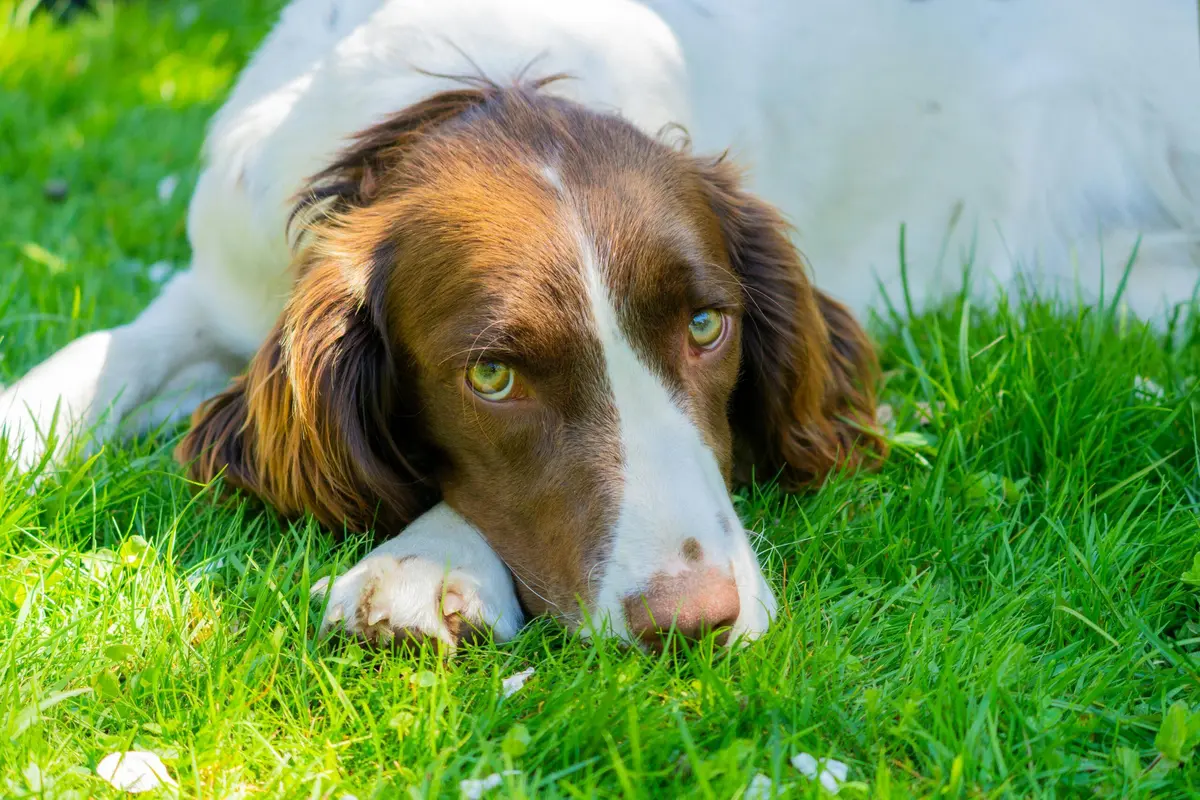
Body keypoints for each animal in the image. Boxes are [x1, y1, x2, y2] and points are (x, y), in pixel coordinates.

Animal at [2, 0, 1200, 652]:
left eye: (709, 324)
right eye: (492, 376)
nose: (696, 621)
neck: (468, 78)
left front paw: (421, 563)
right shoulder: (220, 283)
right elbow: (87, 363)